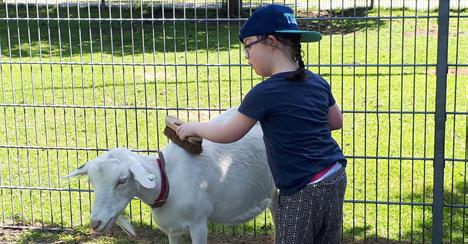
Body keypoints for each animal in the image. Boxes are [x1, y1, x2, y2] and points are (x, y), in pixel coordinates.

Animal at [66, 109, 278, 244]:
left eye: (122, 180)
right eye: (92, 181)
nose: (95, 223)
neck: (167, 182)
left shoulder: (199, 223)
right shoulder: (172, 229)